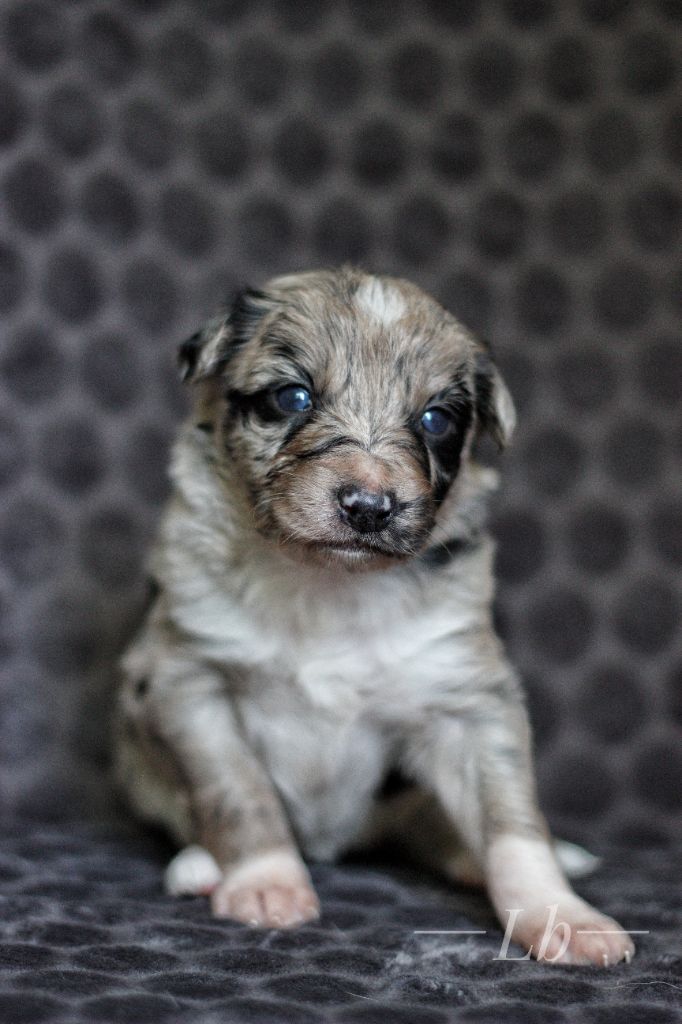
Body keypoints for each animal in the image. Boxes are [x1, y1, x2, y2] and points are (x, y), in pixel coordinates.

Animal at [115, 266, 630, 966]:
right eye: (293, 397)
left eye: (436, 419)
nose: (369, 506)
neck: (330, 584)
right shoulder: (190, 678)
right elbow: (239, 792)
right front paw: (266, 885)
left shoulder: (470, 698)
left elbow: (512, 821)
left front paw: (561, 914)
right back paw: (198, 866)